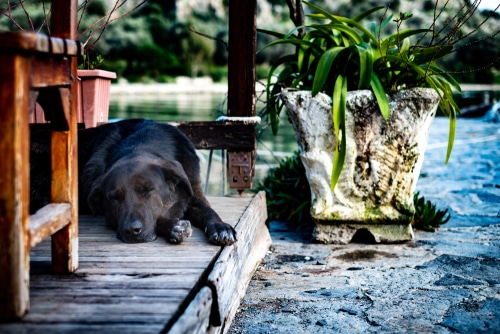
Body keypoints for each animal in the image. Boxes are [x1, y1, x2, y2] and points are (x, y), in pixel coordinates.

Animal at [29, 119, 236, 245]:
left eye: (148, 190)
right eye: (114, 197)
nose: (131, 231)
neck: (141, 142)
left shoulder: (193, 191)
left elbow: (208, 210)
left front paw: (221, 227)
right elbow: (158, 219)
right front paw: (172, 226)